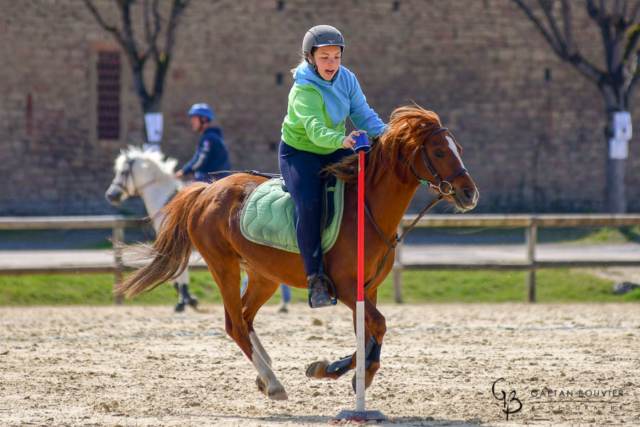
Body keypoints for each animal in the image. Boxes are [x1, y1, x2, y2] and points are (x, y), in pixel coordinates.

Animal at [115, 106, 478, 402]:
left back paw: (266, 373)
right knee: (235, 324)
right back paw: (273, 382)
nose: (469, 193)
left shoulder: (367, 289)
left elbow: (369, 336)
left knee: (245, 318)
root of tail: (207, 191)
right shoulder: (346, 288)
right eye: (438, 151)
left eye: (459, 149)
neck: (366, 210)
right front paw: (337, 369)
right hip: (224, 267)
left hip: (263, 276)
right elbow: (377, 326)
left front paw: (338, 370)